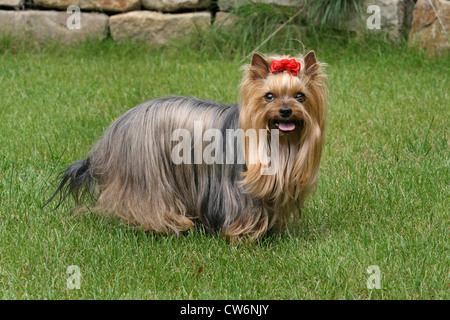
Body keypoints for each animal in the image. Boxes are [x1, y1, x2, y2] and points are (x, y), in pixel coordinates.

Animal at [47, 51, 326, 240]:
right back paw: (170, 225)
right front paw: (243, 236)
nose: (286, 111)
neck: (280, 144)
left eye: (301, 96)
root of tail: (114, 130)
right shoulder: (237, 192)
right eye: (268, 96)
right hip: (147, 176)